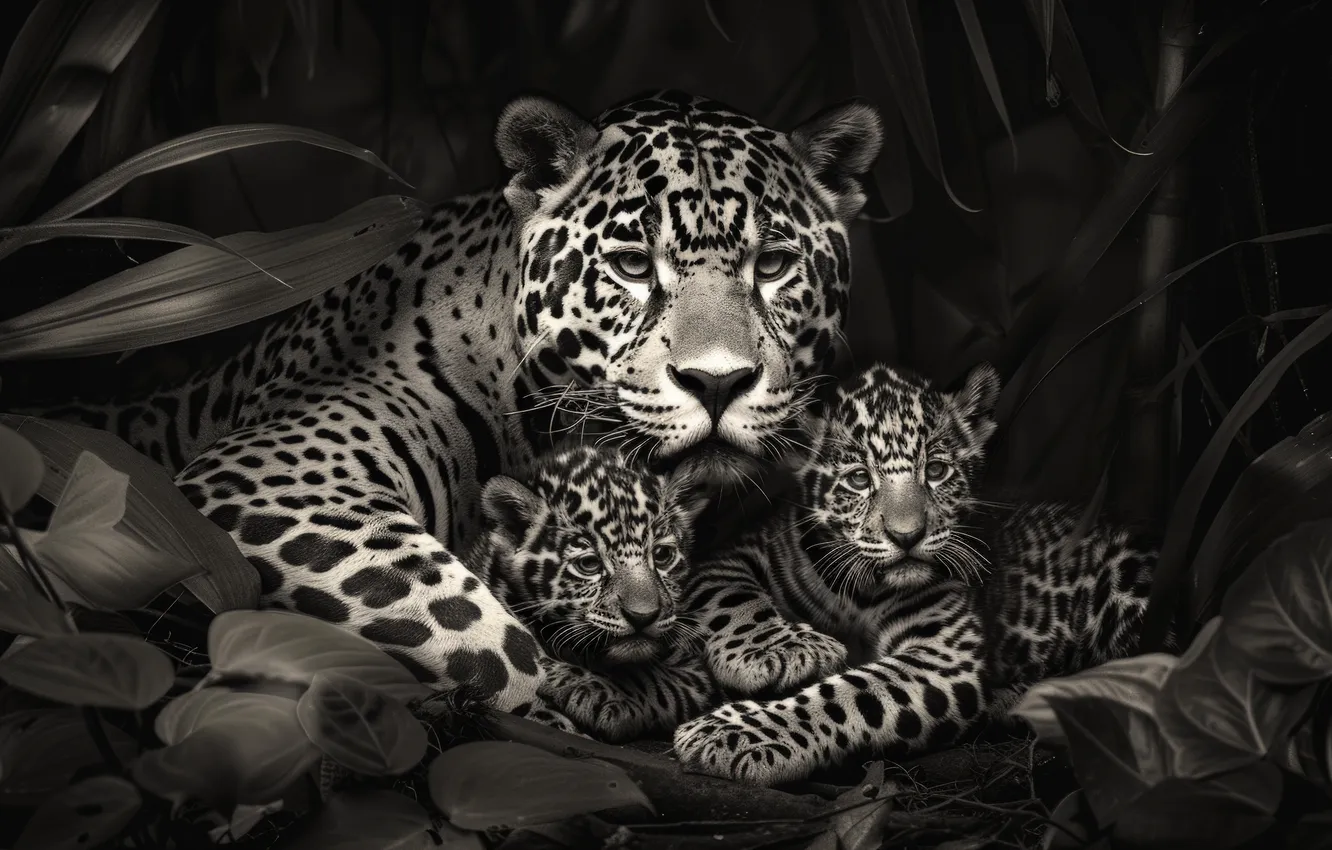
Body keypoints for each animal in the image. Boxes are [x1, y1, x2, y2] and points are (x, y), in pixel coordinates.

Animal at [465, 443, 716, 743]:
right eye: (589, 564)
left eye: (662, 555)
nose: (642, 617)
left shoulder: (692, 668)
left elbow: (657, 682)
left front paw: (594, 690)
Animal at [673, 361, 1163, 786]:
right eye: (858, 479)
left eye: (937, 471)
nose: (906, 536)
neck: (864, 594)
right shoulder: (737, 554)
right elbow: (731, 596)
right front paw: (780, 649)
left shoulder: (942, 656)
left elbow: (844, 696)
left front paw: (733, 733)